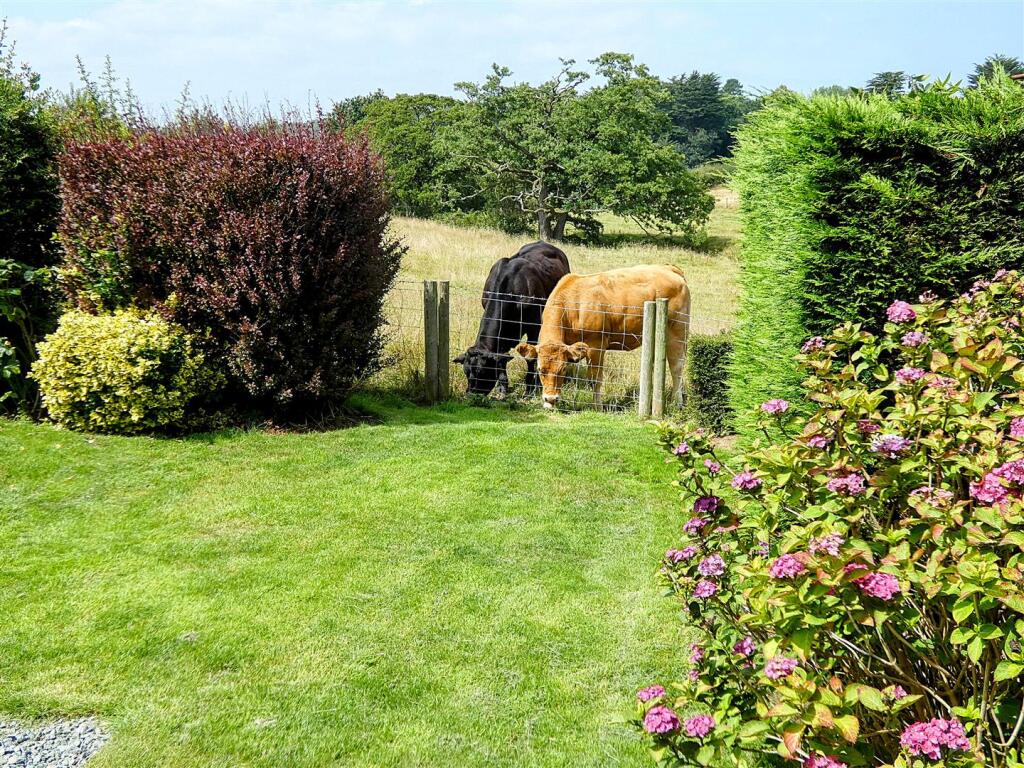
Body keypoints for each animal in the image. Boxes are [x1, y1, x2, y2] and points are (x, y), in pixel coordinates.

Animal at [454, 241, 571, 397]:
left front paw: (529, 388)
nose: (471, 396)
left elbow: (530, 357)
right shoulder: (504, 334)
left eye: (483, 372)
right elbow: (502, 359)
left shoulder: (534, 327)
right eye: (466, 372)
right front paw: (503, 387)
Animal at [515, 265, 690, 409]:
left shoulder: (596, 346)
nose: (550, 399)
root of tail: (669, 269)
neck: (571, 305)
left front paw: (597, 407)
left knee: (676, 367)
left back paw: (677, 402)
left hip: (677, 332)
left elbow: (594, 379)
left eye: (563, 369)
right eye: (540, 369)